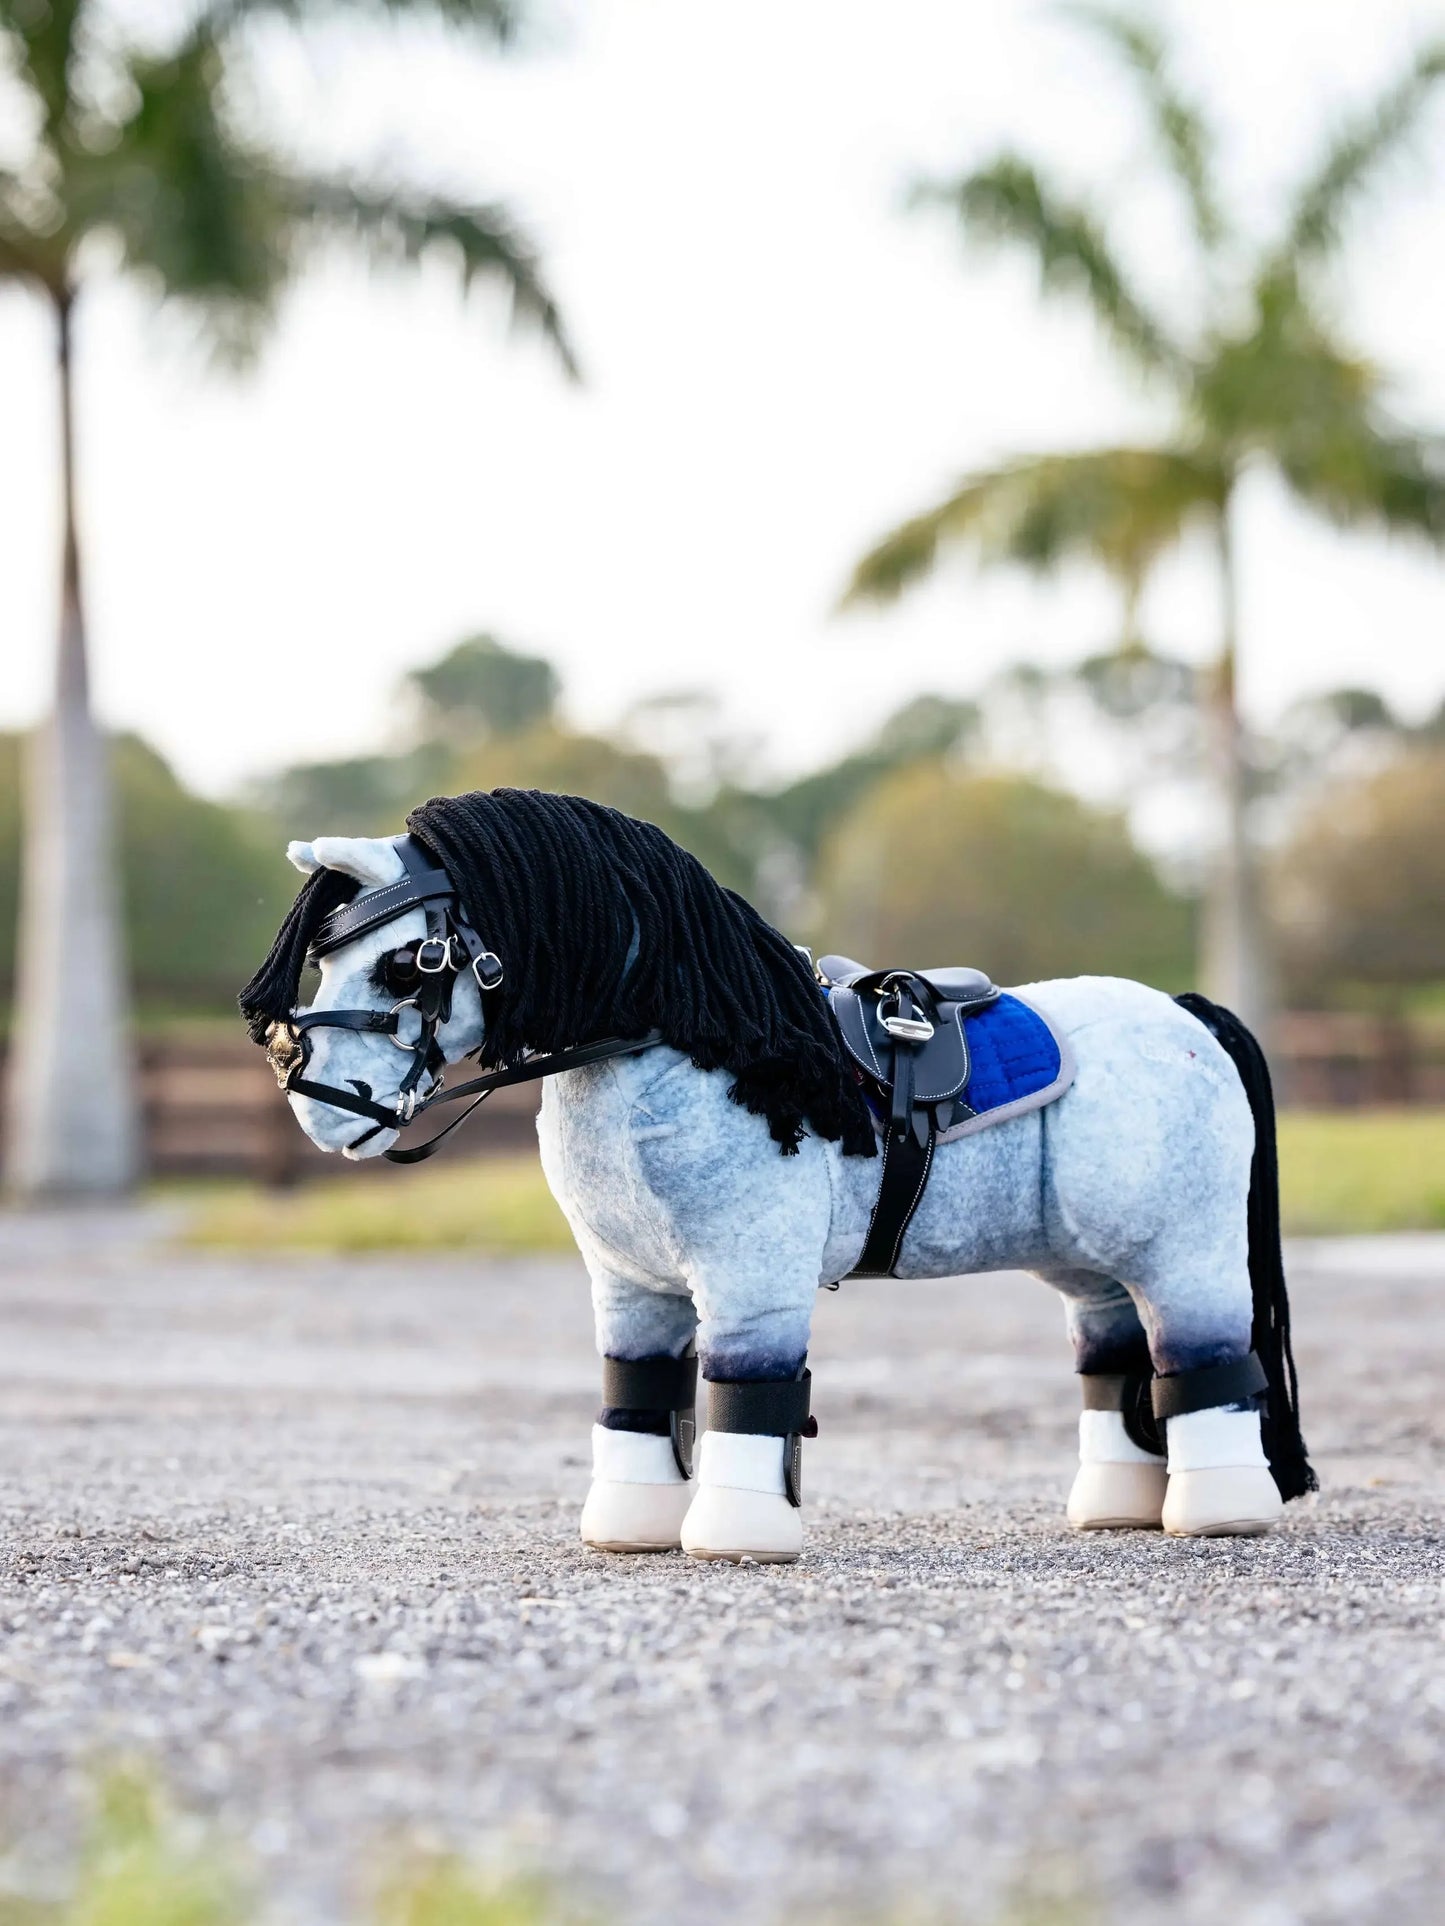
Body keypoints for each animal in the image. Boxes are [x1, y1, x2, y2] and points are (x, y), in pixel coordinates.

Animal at [240, 788, 1314, 1566]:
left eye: (405, 965)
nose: (318, 1102)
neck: (689, 1040)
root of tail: (1184, 1014)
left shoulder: (749, 1278)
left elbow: (743, 1393)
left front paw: (735, 1539)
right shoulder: (629, 1287)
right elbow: (638, 1392)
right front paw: (631, 1529)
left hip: (1184, 1251)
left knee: (1203, 1361)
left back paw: (1217, 1511)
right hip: (1090, 1265)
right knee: (1115, 1359)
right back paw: (1116, 1511)